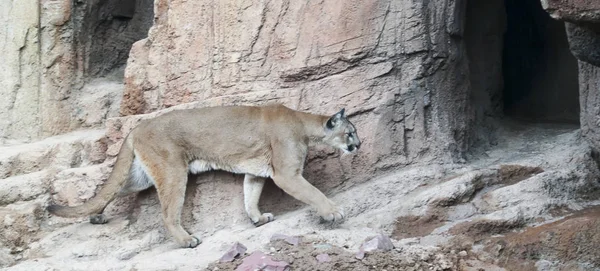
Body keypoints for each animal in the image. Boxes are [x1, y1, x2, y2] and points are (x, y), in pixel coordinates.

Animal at [48, 105, 360, 250]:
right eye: (350, 132)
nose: (359, 144)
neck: (304, 123)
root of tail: (137, 126)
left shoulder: (256, 171)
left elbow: (250, 195)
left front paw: (257, 219)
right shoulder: (287, 174)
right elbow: (314, 192)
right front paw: (333, 213)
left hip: (142, 175)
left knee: (113, 188)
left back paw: (96, 215)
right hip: (172, 171)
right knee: (167, 214)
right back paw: (186, 240)